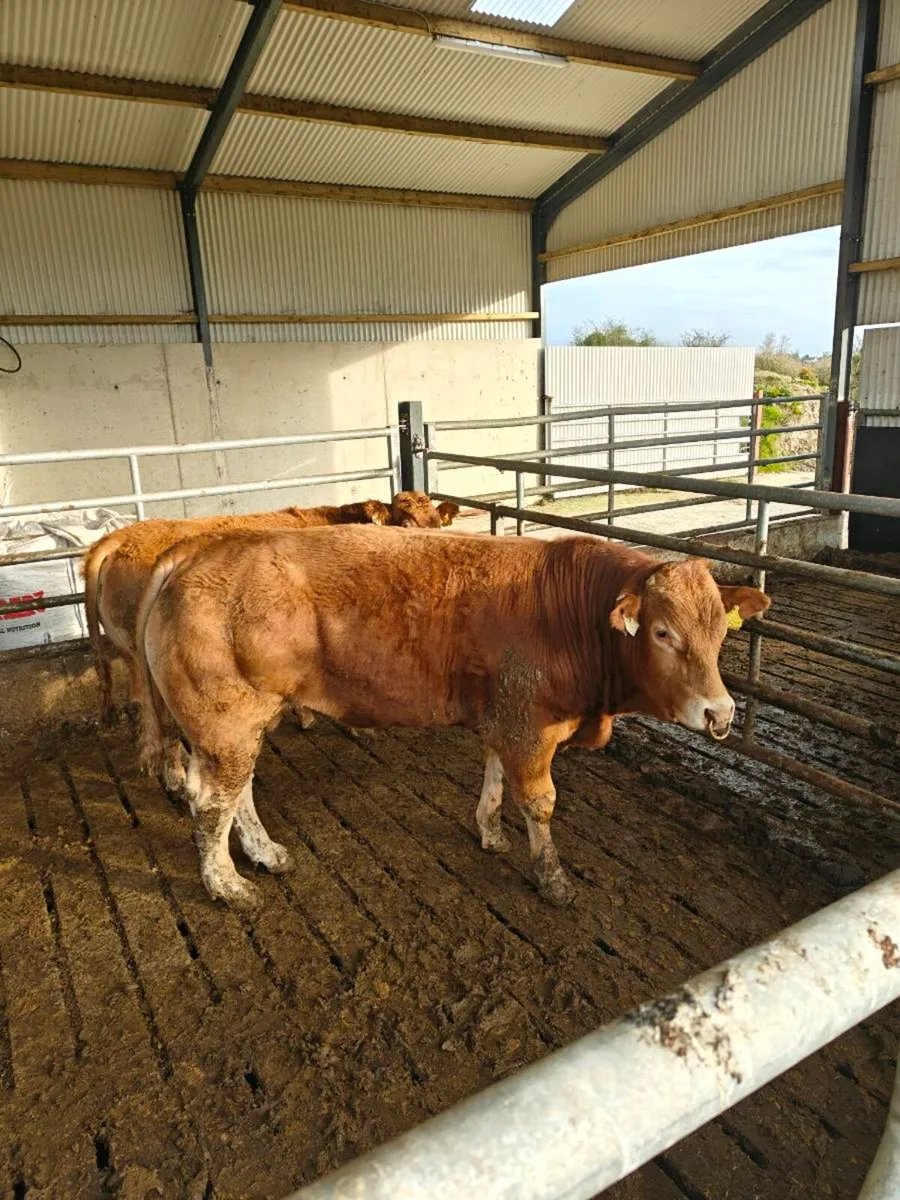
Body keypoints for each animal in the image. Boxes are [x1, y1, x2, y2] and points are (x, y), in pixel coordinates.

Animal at [132, 524, 769, 911]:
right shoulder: (530, 727)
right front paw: (554, 878)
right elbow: (540, 802)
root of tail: (199, 549)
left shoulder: (503, 715)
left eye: (720, 631)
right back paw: (228, 885)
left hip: (238, 726)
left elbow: (493, 776)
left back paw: (266, 854)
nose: (720, 712)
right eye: (662, 632)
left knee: (236, 793)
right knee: (211, 804)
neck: (569, 614)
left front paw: (489, 830)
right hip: (224, 723)